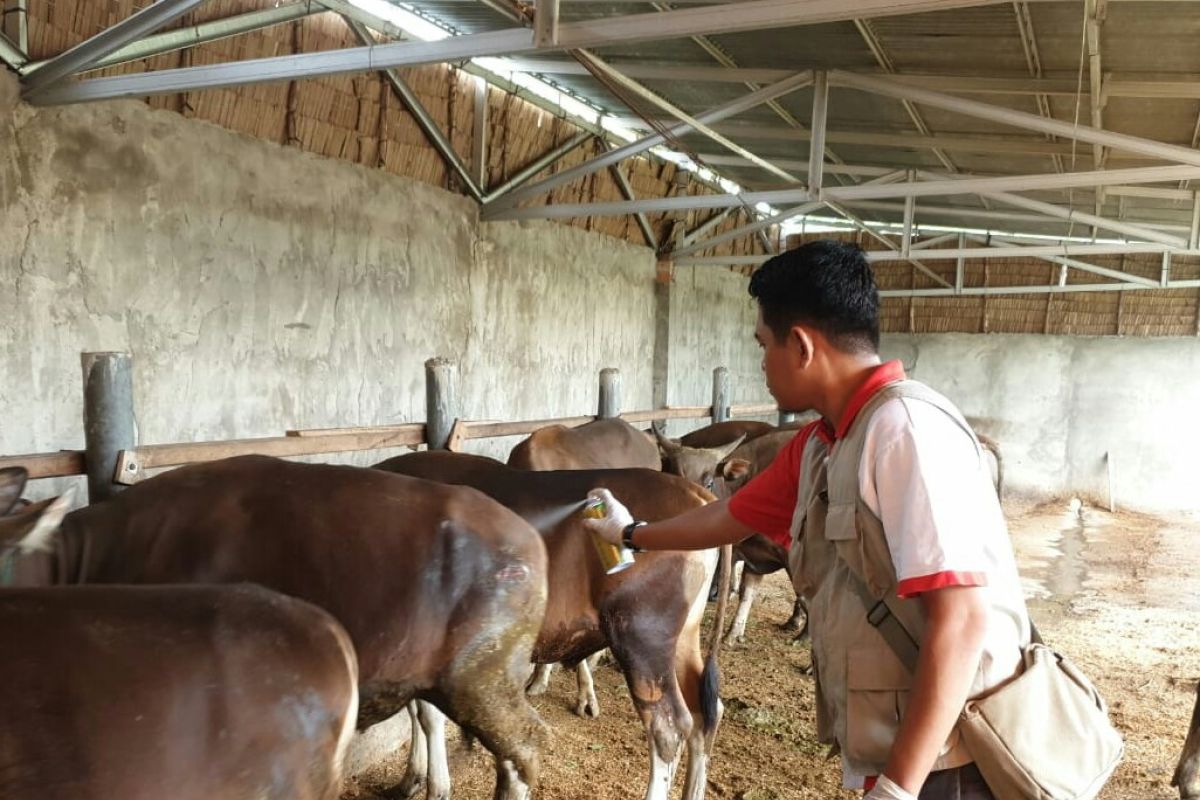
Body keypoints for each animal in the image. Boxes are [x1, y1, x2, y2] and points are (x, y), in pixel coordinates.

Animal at [374, 453, 729, 800]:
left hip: (642, 635)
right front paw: (412, 778)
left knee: (668, 728)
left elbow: (427, 716)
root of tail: (697, 494)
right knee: (705, 713)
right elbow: (419, 713)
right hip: (682, 639)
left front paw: (432, 786)